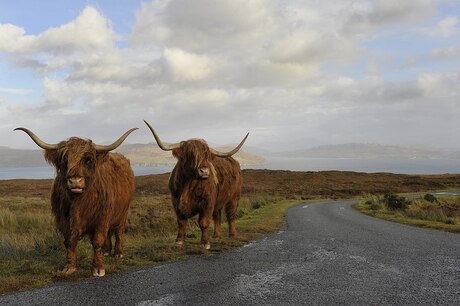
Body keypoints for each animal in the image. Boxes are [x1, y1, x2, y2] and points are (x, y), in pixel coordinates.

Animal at [14, 126, 137, 278]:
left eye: (88, 160)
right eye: (64, 160)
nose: (75, 181)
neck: (79, 202)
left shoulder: (101, 217)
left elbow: (97, 241)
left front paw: (98, 268)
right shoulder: (63, 219)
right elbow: (69, 242)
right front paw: (69, 267)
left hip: (123, 212)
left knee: (119, 232)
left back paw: (118, 253)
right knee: (109, 233)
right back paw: (106, 251)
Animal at [146, 119, 250, 249]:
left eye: (207, 156)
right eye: (190, 155)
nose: (205, 171)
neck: (187, 185)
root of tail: (234, 161)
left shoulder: (207, 202)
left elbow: (203, 222)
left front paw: (205, 243)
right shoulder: (175, 201)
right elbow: (181, 222)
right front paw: (179, 241)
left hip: (234, 197)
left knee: (231, 214)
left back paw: (232, 234)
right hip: (218, 200)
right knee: (218, 215)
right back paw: (217, 235)